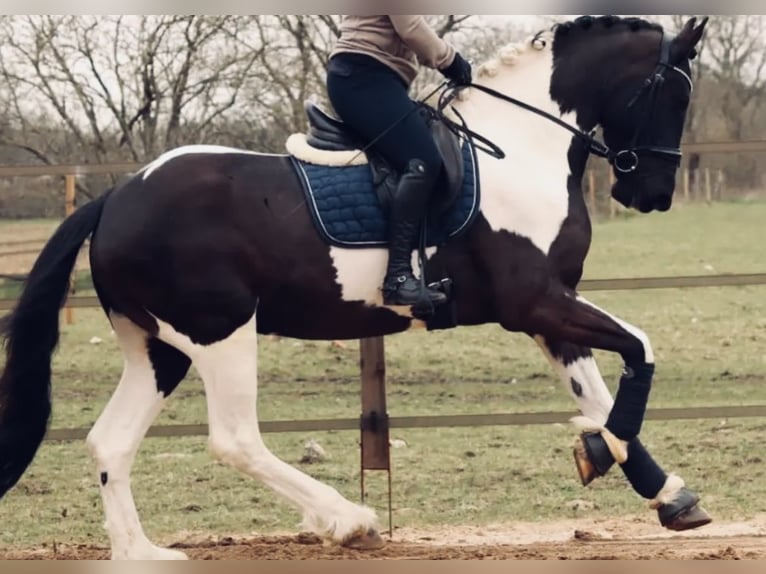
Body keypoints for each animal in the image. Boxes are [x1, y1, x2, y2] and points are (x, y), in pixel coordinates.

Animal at [0, 14, 712, 564]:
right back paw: (348, 520)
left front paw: (661, 489)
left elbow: (598, 390)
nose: (650, 195)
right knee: (234, 438)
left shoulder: (549, 311)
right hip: (220, 331)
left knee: (110, 441)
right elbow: (641, 351)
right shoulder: (536, 301)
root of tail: (117, 197)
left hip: (160, 347)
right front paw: (611, 456)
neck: (521, 148)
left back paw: (142, 552)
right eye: (677, 98)